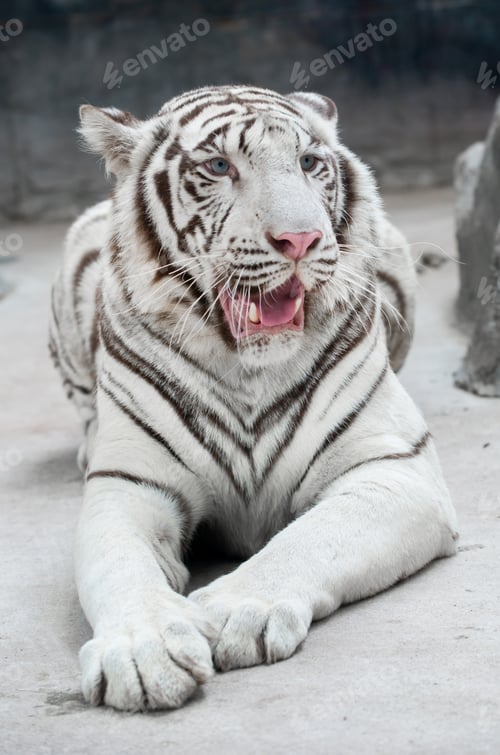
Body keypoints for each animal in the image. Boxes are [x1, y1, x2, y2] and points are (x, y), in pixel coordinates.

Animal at [49, 85, 458, 712]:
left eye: (309, 163)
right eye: (220, 167)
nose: (301, 240)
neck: (249, 370)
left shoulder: (393, 468)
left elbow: (310, 538)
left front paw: (230, 612)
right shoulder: (130, 484)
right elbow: (118, 565)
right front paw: (144, 651)